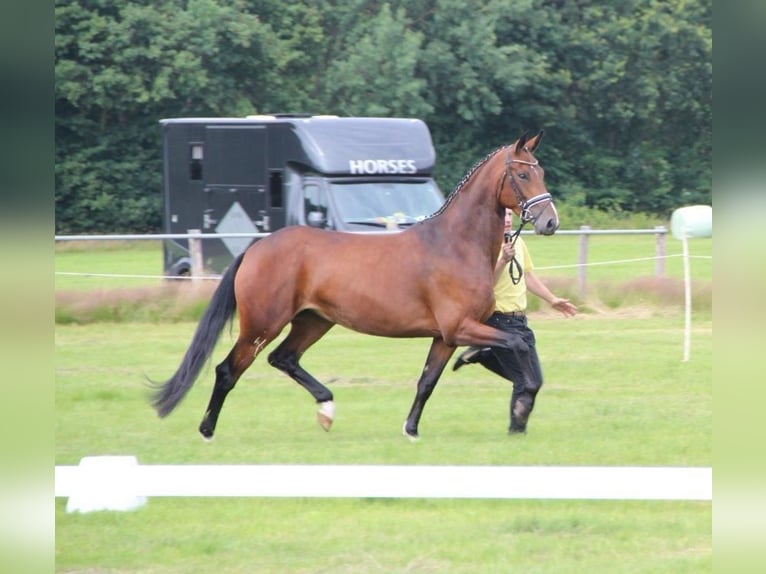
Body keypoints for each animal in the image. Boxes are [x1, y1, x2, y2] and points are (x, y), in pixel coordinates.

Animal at [152, 133, 560, 440]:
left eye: (540, 171)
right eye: (522, 175)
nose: (550, 222)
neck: (454, 245)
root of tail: (257, 247)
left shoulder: (446, 336)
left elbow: (427, 381)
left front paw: (411, 429)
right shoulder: (460, 327)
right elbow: (517, 343)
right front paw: (521, 402)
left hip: (314, 321)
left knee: (283, 358)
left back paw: (326, 408)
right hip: (261, 325)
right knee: (229, 369)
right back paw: (207, 430)